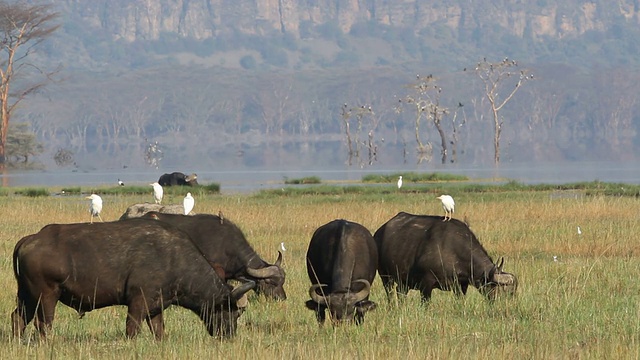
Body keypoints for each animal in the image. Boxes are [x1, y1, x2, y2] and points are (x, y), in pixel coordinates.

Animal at [10, 219, 255, 340]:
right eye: (234, 313)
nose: (229, 336)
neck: (174, 259)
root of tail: (31, 239)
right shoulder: (138, 303)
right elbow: (132, 329)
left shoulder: (156, 307)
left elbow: (159, 332)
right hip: (45, 297)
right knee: (43, 324)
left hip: (27, 297)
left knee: (18, 318)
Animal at [376, 212, 516, 302]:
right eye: (501, 290)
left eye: (512, 293)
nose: (506, 305)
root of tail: (379, 232)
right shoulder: (426, 285)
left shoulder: (461, 286)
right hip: (385, 277)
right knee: (390, 293)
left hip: (402, 282)